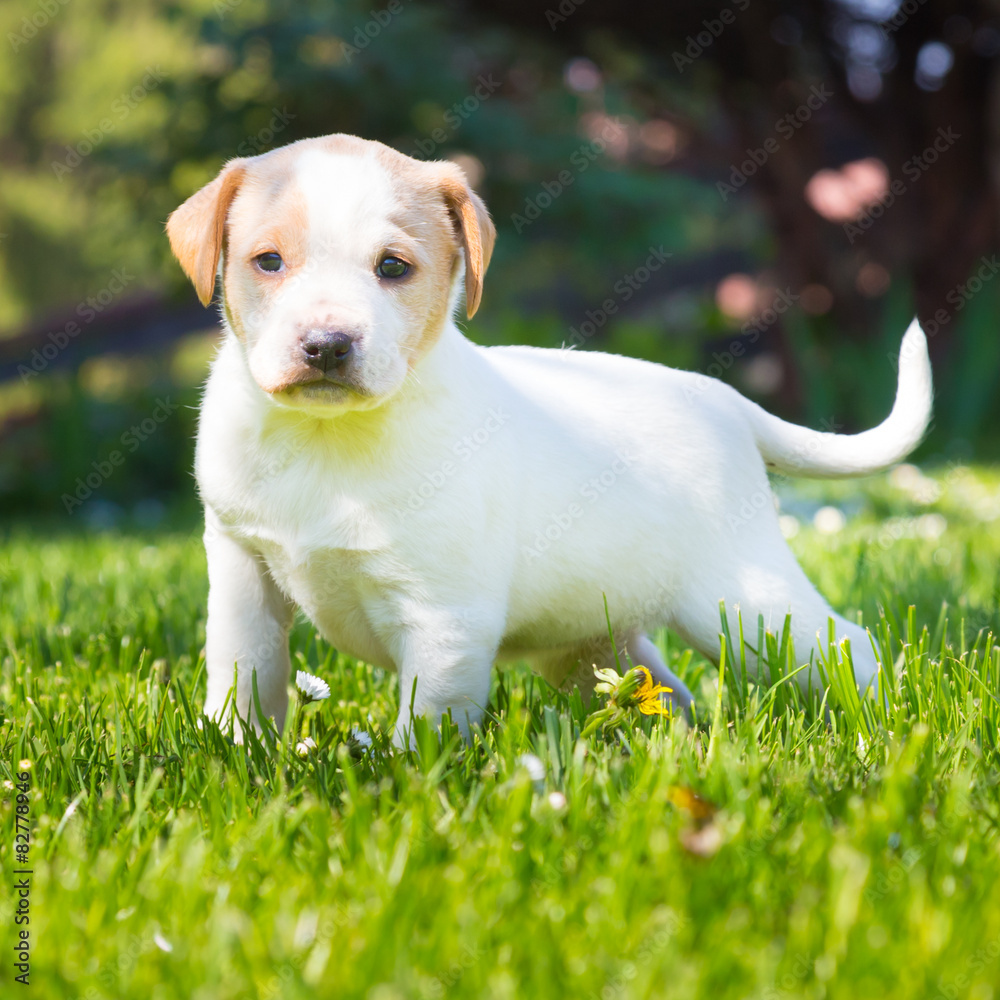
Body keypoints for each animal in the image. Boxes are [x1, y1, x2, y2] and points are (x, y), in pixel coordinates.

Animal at [166, 133, 928, 744]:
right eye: (268, 261)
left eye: (393, 267)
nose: (326, 344)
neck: (328, 437)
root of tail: (727, 401)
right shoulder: (242, 572)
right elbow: (246, 673)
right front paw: (234, 754)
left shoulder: (445, 617)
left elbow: (425, 724)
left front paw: (408, 782)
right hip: (594, 643)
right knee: (666, 692)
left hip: (747, 606)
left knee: (848, 646)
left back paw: (886, 723)